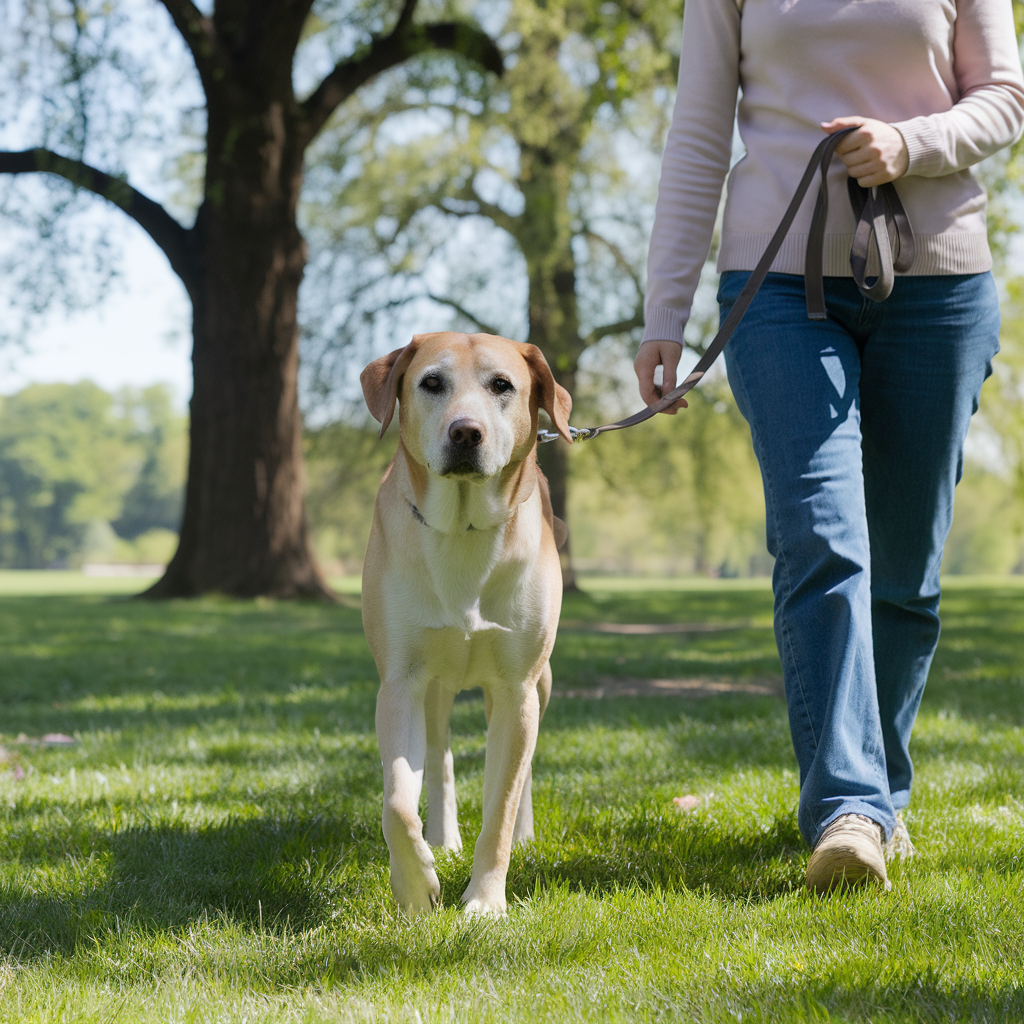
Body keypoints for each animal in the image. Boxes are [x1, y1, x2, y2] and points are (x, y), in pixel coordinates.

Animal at [360, 331, 573, 917]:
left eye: (502, 385)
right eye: (431, 382)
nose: (465, 432)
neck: (463, 527)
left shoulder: (518, 686)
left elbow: (500, 803)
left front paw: (484, 901)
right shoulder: (400, 683)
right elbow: (396, 801)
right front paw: (416, 885)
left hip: (540, 683)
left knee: (523, 769)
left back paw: (523, 834)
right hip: (436, 685)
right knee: (440, 757)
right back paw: (442, 836)